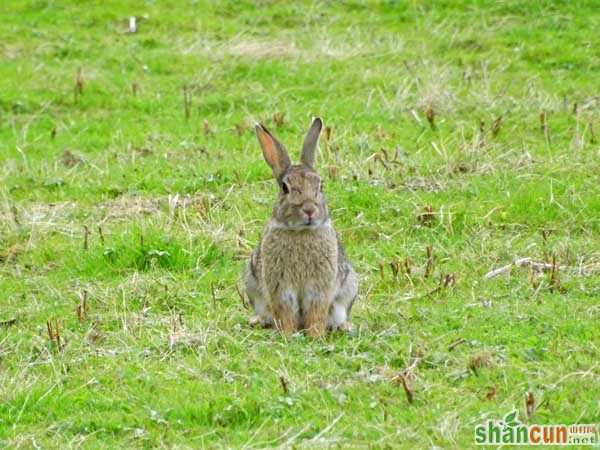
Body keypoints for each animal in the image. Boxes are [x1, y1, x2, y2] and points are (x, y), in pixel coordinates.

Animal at [243, 118, 358, 336]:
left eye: (320, 186)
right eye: (285, 188)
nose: (309, 209)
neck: (301, 232)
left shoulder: (320, 286)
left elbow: (316, 311)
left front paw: (315, 336)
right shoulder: (280, 286)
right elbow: (285, 311)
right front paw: (288, 335)